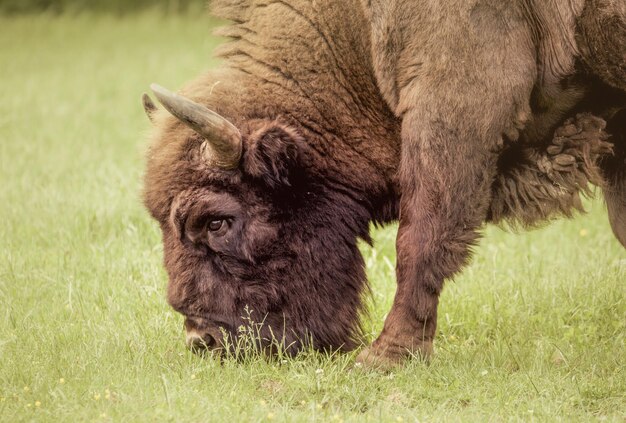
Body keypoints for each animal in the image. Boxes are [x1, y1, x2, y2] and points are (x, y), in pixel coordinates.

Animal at [143, 0, 624, 366]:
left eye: (216, 222)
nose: (203, 341)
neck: (350, 34)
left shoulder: (455, 114)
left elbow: (420, 242)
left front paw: (385, 357)